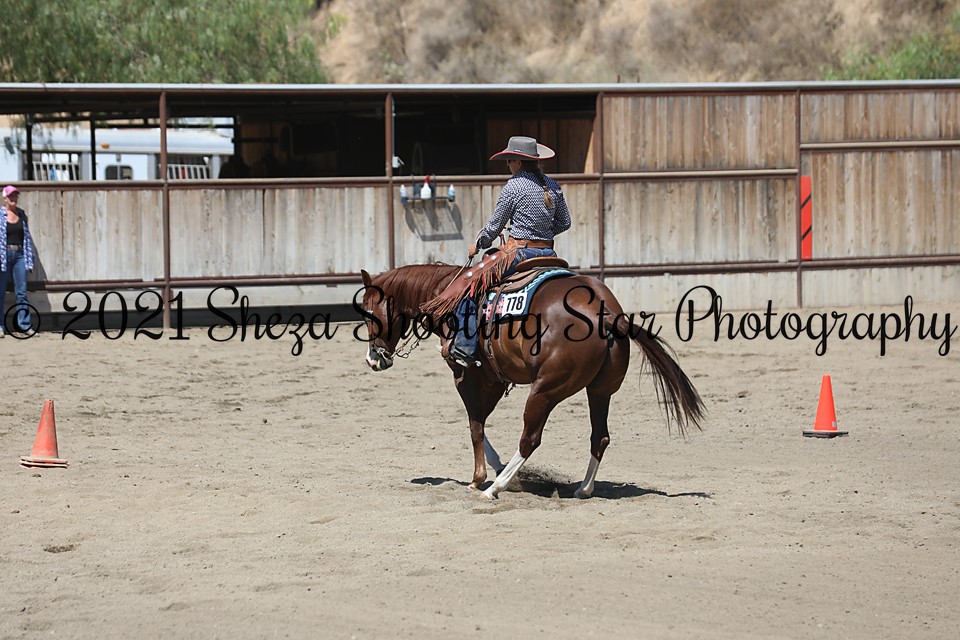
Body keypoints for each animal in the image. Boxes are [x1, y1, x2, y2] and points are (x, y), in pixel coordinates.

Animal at [357, 262, 704, 499]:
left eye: (367, 312)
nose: (373, 359)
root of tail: (606, 314)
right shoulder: (494, 380)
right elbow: (479, 422)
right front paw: (492, 468)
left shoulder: (468, 376)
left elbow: (475, 425)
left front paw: (479, 477)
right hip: (600, 390)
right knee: (600, 436)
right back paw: (583, 488)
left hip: (546, 390)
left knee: (530, 439)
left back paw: (495, 488)